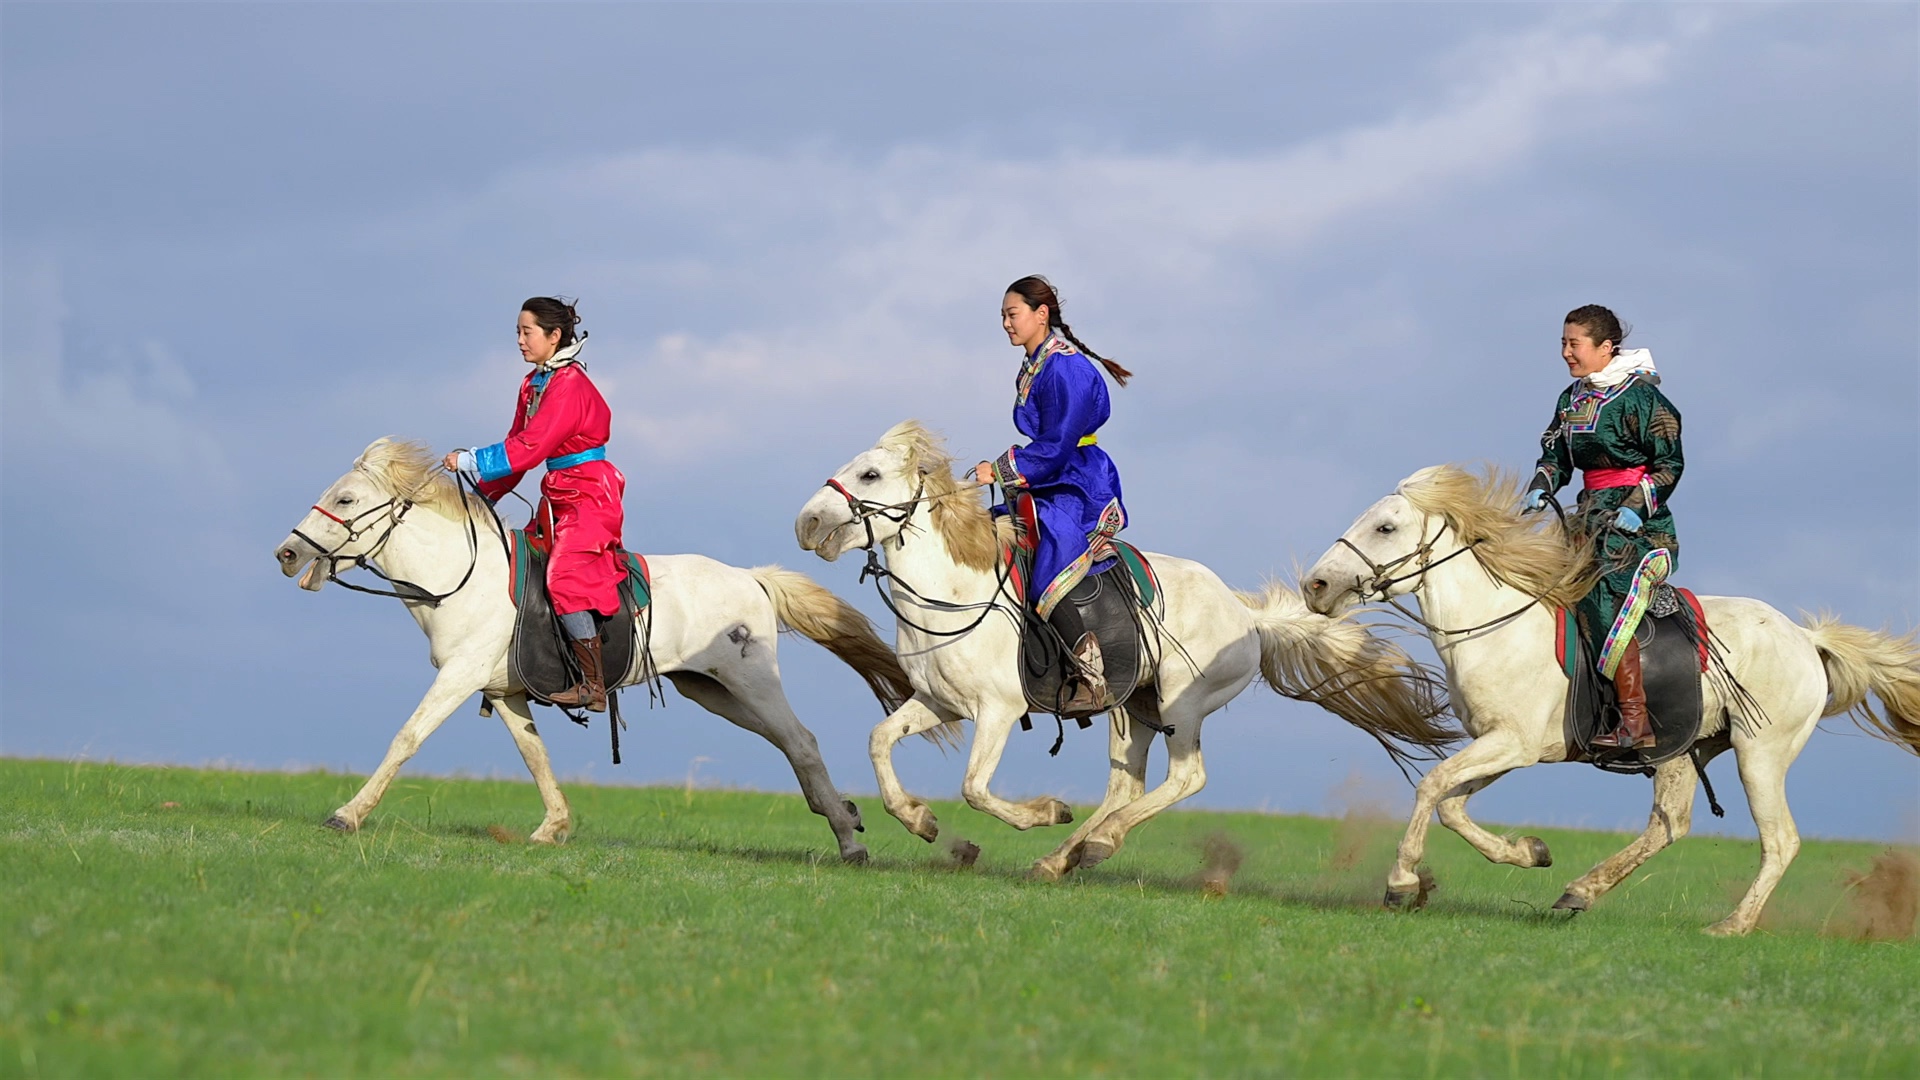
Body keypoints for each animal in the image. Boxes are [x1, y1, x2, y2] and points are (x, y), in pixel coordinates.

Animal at [272, 438, 921, 857]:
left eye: (347, 499)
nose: (287, 553)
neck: (463, 578)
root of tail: (751, 578)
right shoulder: (503, 692)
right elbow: (535, 757)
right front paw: (553, 828)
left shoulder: (458, 677)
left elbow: (406, 738)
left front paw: (347, 815)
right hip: (714, 692)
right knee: (788, 745)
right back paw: (845, 814)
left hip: (751, 682)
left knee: (802, 742)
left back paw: (850, 838)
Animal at [794, 418, 1451, 876]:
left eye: (870, 476)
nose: (807, 523)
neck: (954, 592)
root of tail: (1245, 614)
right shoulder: (938, 701)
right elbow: (880, 741)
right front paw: (920, 821)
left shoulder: (998, 711)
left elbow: (975, 788)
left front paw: (1042, 811)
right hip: (1132, 707)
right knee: (1126, 787)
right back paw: (1060, 858)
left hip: (1184, 703)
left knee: (1187, 778)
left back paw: (1096, 844)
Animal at [1297, 466, 1912, 930]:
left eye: (1385, 527)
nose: (1315, 586)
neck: (1496, 625)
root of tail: (1807, 639)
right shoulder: (1507, 746)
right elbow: (1450, 804)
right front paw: (1531, 852)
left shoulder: (1511, 743)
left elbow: (1430, 787)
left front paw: (1401, 884)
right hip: (1683, 749)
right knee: (1670, 825)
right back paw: (1580, 891)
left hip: (1760, 753)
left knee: (1780, 840)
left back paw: (1731, 925)